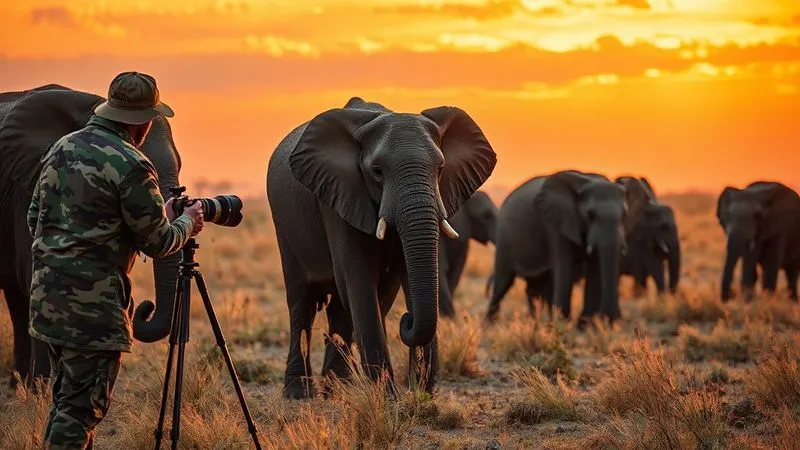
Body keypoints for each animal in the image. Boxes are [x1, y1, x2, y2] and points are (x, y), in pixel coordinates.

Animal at [266, 97, 496, 399]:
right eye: (377, 172)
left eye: (440, 169)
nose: (407, 320)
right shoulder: (338, 198)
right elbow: (359, 281)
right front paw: (390, 399)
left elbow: (394, 284)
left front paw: (419, 396)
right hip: (285, 228)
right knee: (301, 303)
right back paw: (299, 393)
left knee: (340, 308)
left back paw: (337, 389)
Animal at [484, 170, 648, 326]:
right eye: (590, 214)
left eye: (624, 215)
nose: (610, 321)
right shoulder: (556, 223)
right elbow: (564, 266)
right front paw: (563, 323)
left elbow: (595, 268)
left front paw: (584, 326)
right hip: (504, 239)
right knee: (503, 282)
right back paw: (490, 325)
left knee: (535, 286)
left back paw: (534, 323)